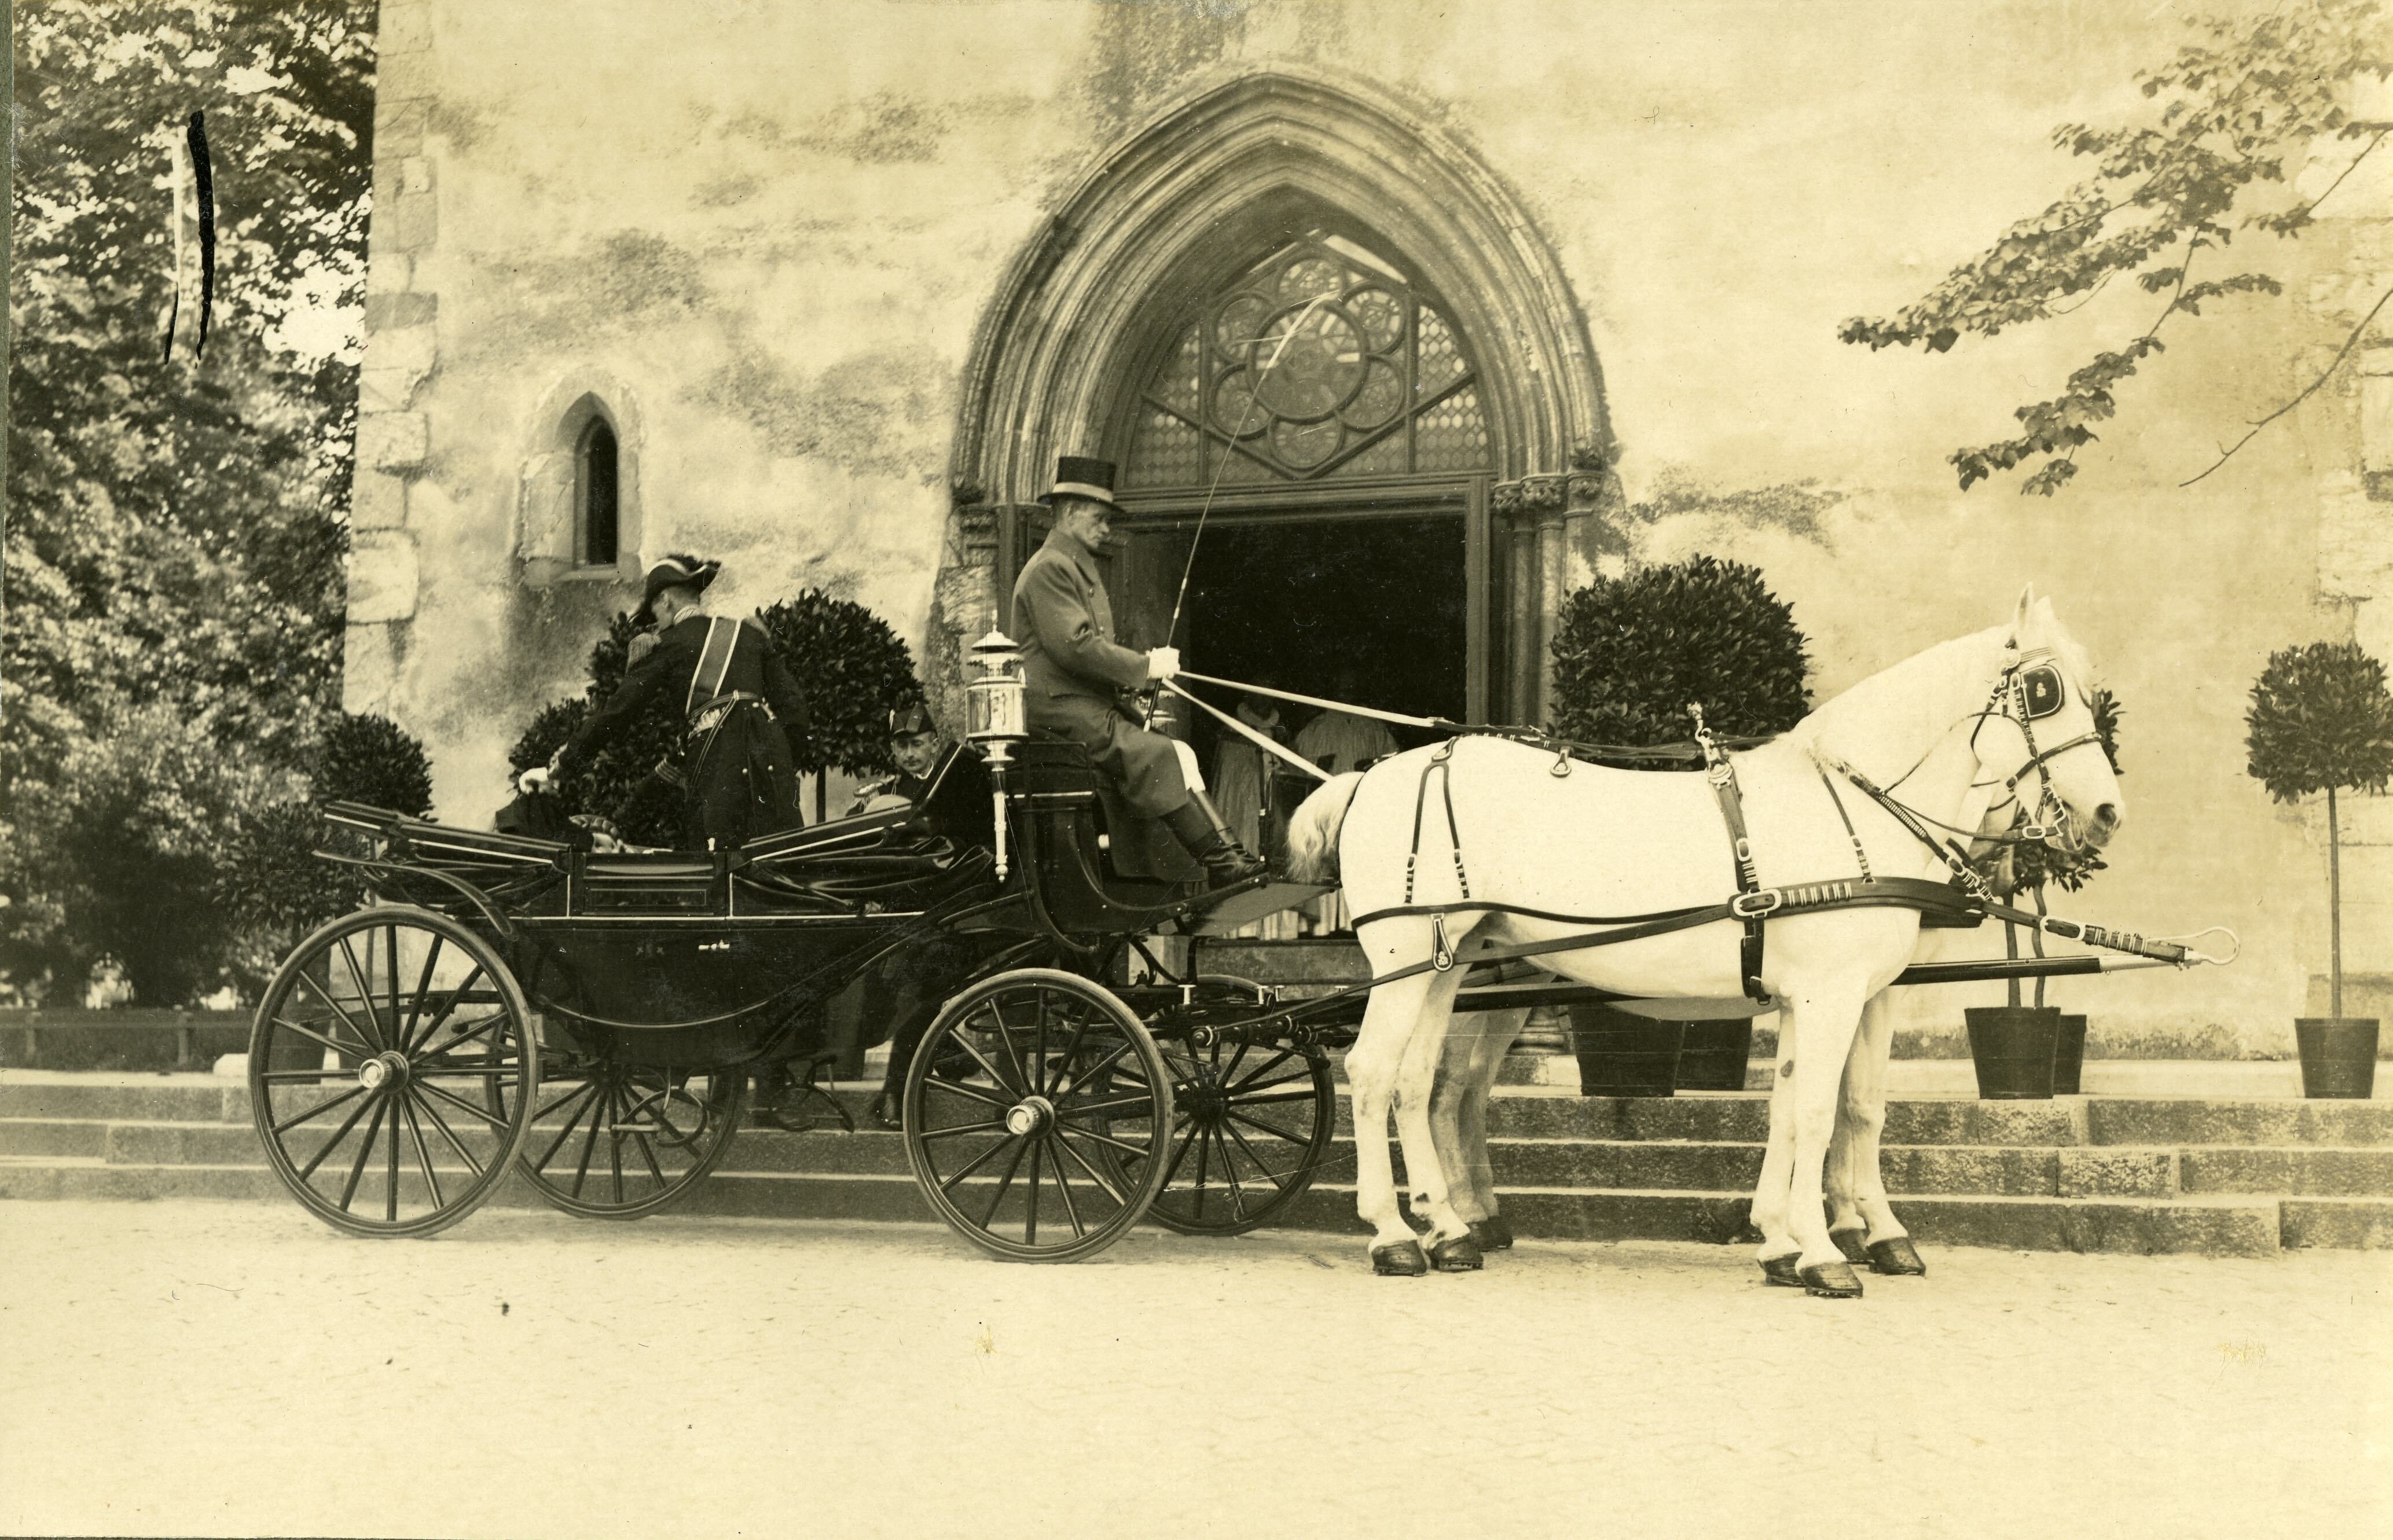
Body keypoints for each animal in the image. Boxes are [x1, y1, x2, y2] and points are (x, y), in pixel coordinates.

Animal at [1287, 588, 2121, 1295]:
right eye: (2043, 690)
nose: (2107, 811)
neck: (1852, 809)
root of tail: (1374, 775)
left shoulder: (1841, 994)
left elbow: (1824, 1106)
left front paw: (1793, 1241)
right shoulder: (1830, 995)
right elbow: (1818, 1113)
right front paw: (1825, 1253)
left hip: (1444, 964)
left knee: (1418, 1082)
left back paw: (1451, 1230)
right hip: (1404, 962)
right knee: (1372, 1075)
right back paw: (1394, 1235)